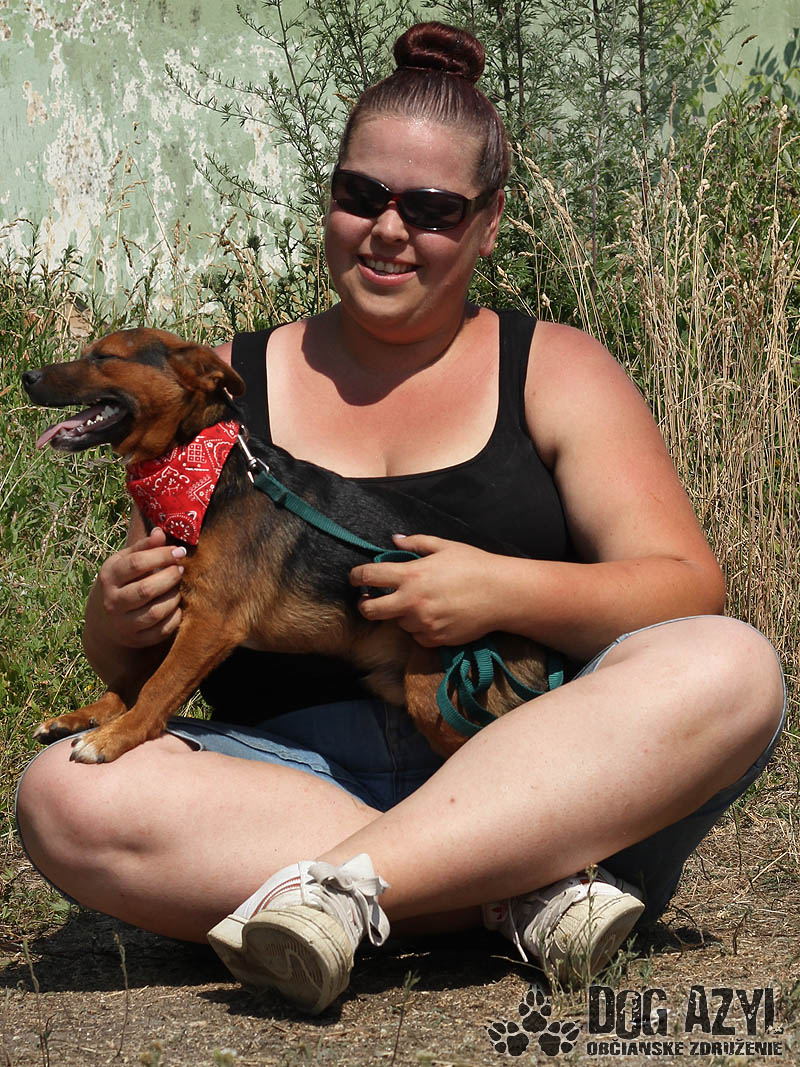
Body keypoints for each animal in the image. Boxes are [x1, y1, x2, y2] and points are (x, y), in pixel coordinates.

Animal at [22, 328, 554, 762]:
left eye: (103, 358)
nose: (27, 375)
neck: (195, 469)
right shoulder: (171, 599)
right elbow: (135, 670)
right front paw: (94, 714)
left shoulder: (212, 619)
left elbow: (159, 684)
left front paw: (116, 735)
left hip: (437, 687)